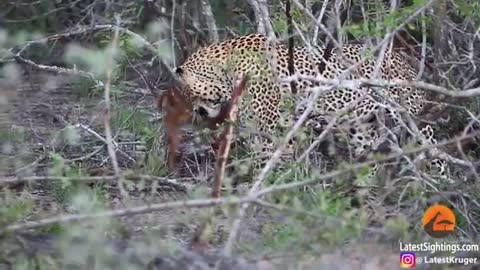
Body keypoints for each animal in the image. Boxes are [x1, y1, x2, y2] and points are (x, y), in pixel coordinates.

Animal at [172, 33, 450, 177]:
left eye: (188, 95)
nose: (198, 112)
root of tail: (405, 62)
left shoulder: (269, 129)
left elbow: (265, 160)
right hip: (361, 126)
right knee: (368, 154)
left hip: (413, 119)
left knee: (434, 150)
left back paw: (439, 186)